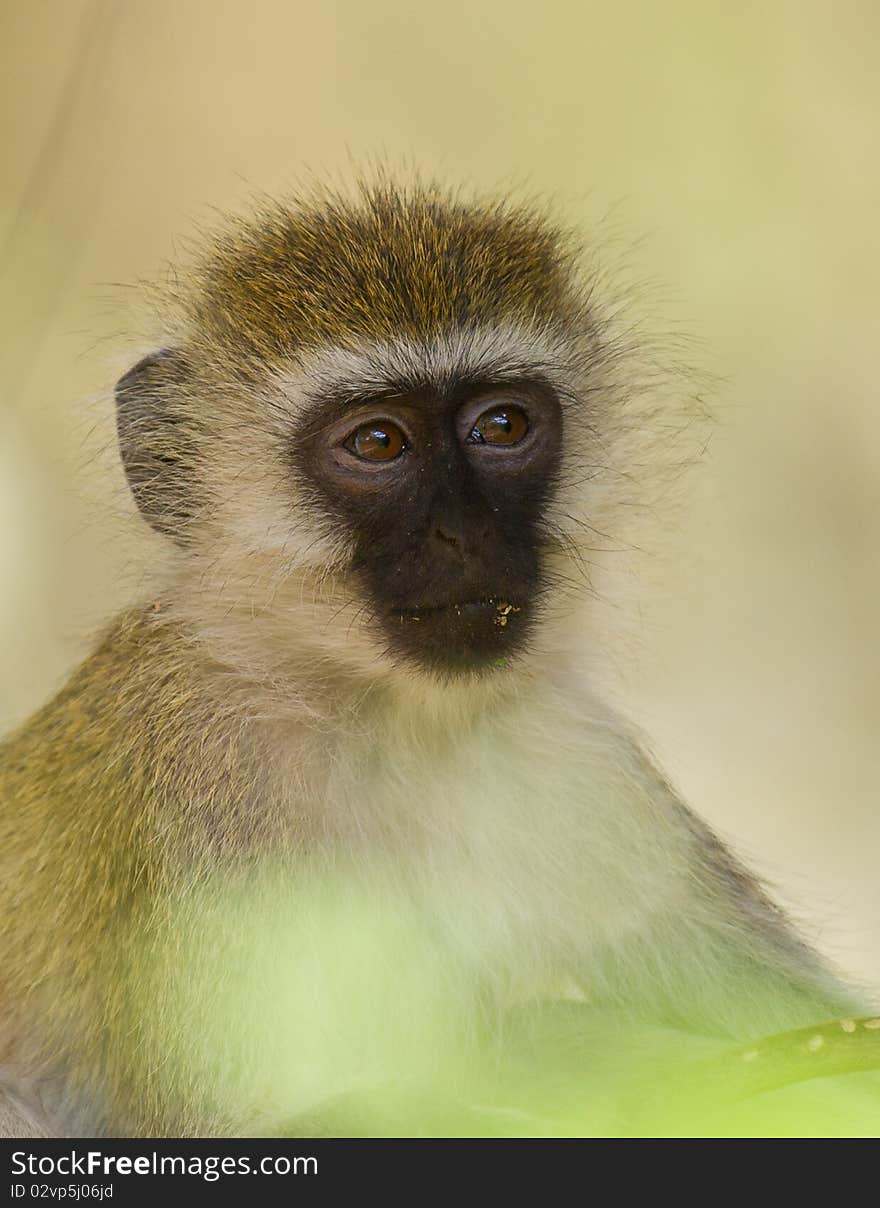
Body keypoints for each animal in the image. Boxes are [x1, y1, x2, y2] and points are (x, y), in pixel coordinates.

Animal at [0, 176, 865, 1130]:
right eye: (377, 443)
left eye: (502, 426)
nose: (465, 535)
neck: (389, 724)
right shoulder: (204, 768)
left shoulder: (579, 760)